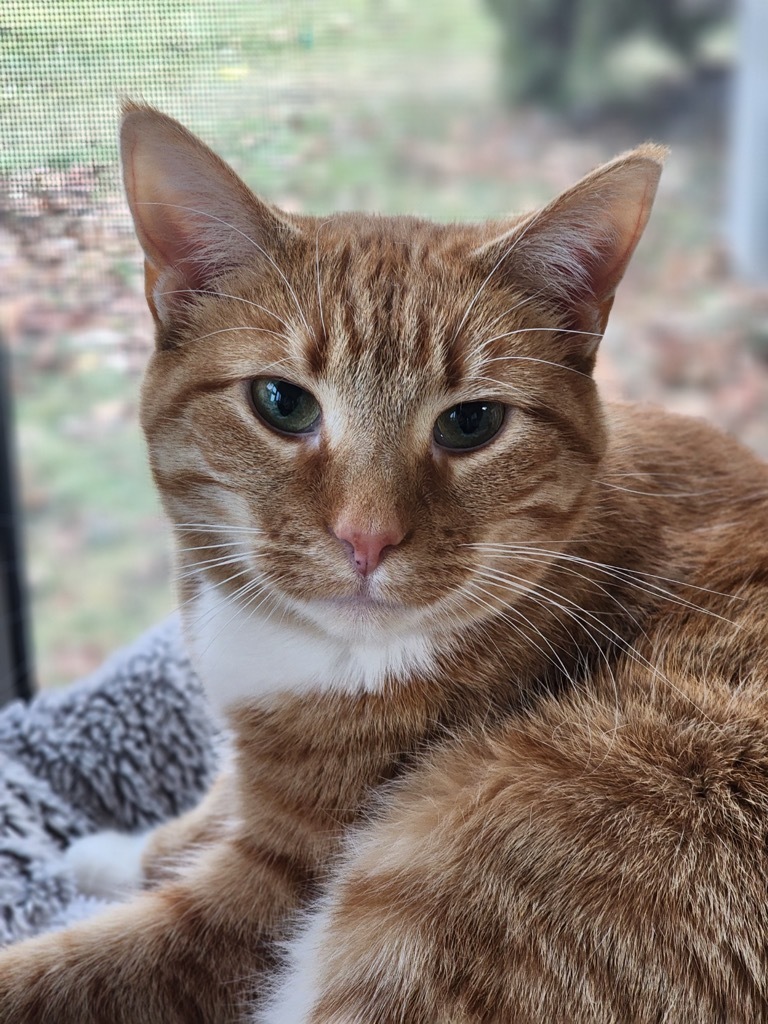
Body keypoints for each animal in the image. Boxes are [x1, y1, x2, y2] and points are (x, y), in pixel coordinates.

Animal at [1, 105, 768, 1024]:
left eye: (472, 423)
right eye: (281, 403)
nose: (366, 538)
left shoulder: (265, 893)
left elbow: (83, 966)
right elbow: (207, 810)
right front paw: (128, 849)